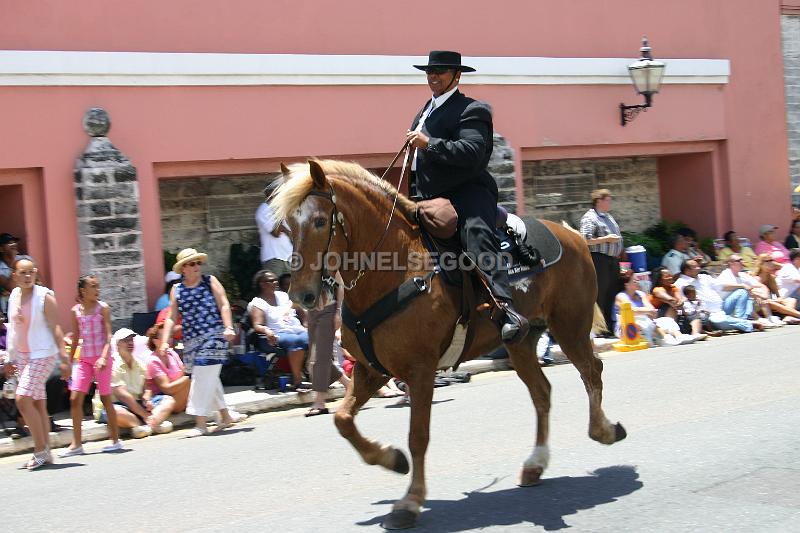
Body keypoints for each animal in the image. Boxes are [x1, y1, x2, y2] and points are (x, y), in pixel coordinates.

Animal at [272, 158, 628, 528]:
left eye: (319, 220)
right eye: (288, 225)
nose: (301, 295)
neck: (396, 267)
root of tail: (573, 235)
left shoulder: (420, 370)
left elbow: (418, 436)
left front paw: (410, 501)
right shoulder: (372, 369)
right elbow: (342, 419)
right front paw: (391, 459)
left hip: (570, 326)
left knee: (591, 371)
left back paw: (603, 430)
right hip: (522, 342)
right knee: (542, 393)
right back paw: (535, 464)